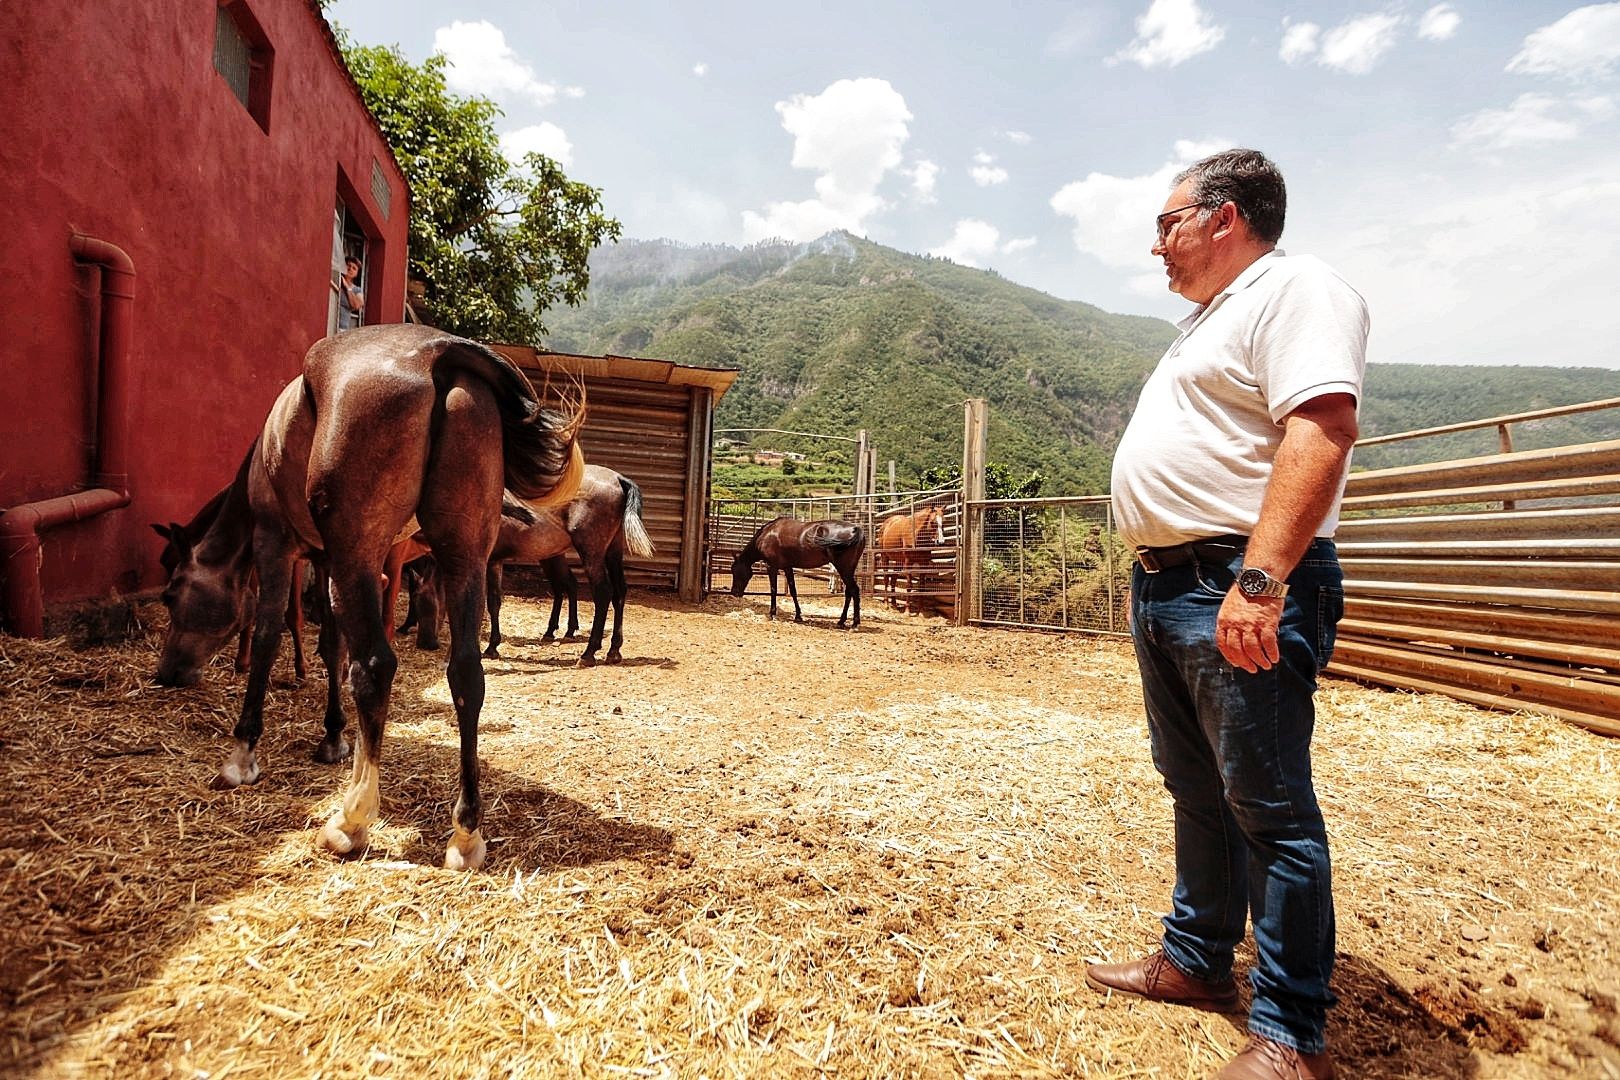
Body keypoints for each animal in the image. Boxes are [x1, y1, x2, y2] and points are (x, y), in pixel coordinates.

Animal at [154, 325, 586, 874]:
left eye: (171, 594)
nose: (167, 672)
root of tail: (435, 351)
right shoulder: (325, 560)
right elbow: (331, 647)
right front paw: (333, 735)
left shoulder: (278, 544)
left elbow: (272, 634)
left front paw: (243, 753)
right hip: (462, 553)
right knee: (466, 672)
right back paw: (465, 832)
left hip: (360, 554)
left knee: (376, 666)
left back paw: (351, 819)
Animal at [405, 466, 657, 667]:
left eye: (420, 602)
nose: (425, 643)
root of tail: (618, 478)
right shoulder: (494, 561)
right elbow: (494, 602)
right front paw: (492, 647)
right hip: (612, 551)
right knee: (619, 592)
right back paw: (613, 650)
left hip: (592, 552)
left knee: (603, 593)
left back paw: (588, 653)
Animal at [732, 518, 868, 628]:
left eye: (735, 571)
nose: (734, 592)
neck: (767, 534)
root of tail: (856, 529)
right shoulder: (787, 567)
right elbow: (793, 591)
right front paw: (798, 616)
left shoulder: (771, 567)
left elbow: (773, 590)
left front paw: (772, 613)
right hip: (848, 570)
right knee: (849, 592)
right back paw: (842, 621)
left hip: (843, 569)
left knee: (854, 590)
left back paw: (854, 623)